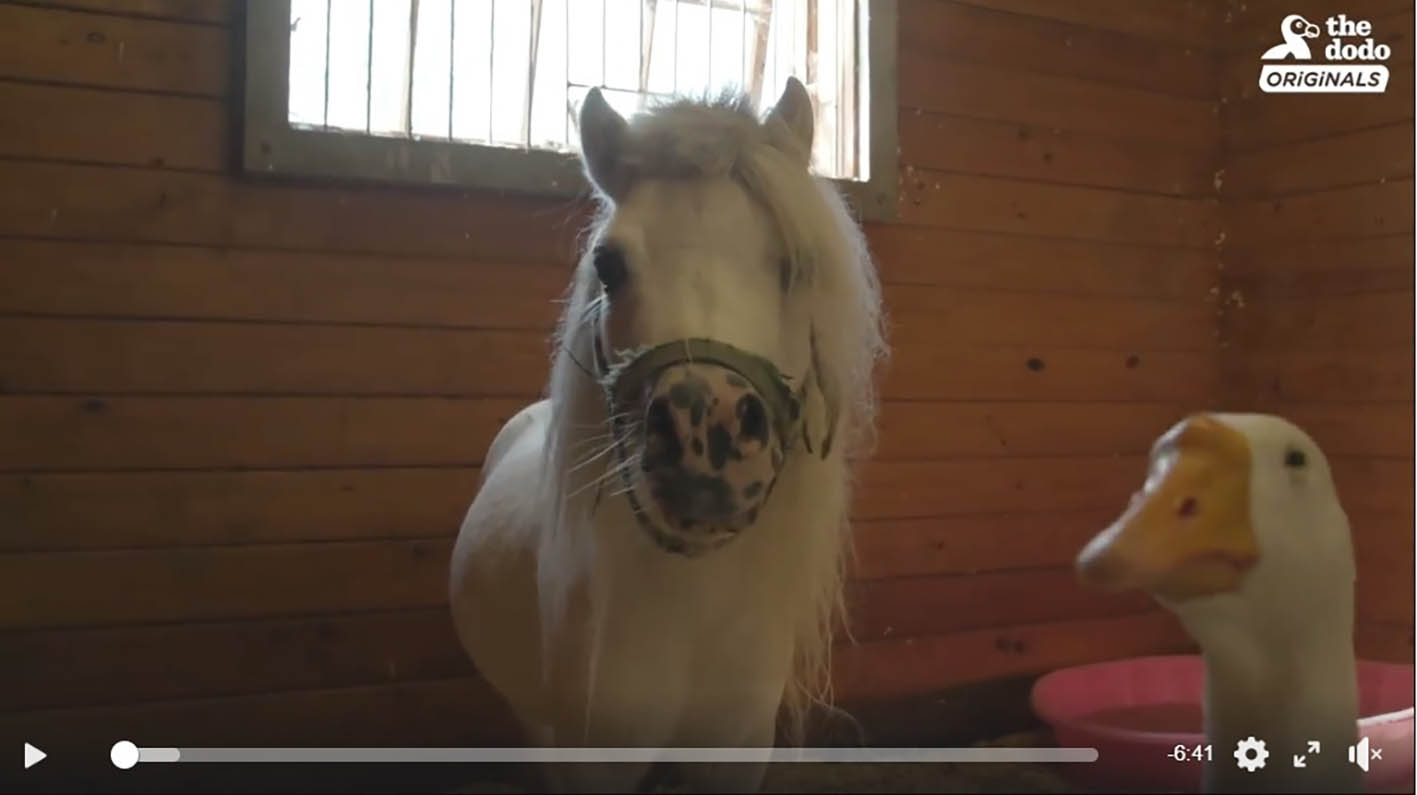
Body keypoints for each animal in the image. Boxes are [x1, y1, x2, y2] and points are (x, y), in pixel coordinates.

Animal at [447, 75, 884, 793]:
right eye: (609, 264)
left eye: (795, 264)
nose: (704, 435)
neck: (690, 602)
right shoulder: (592, 759)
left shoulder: (733, 753)